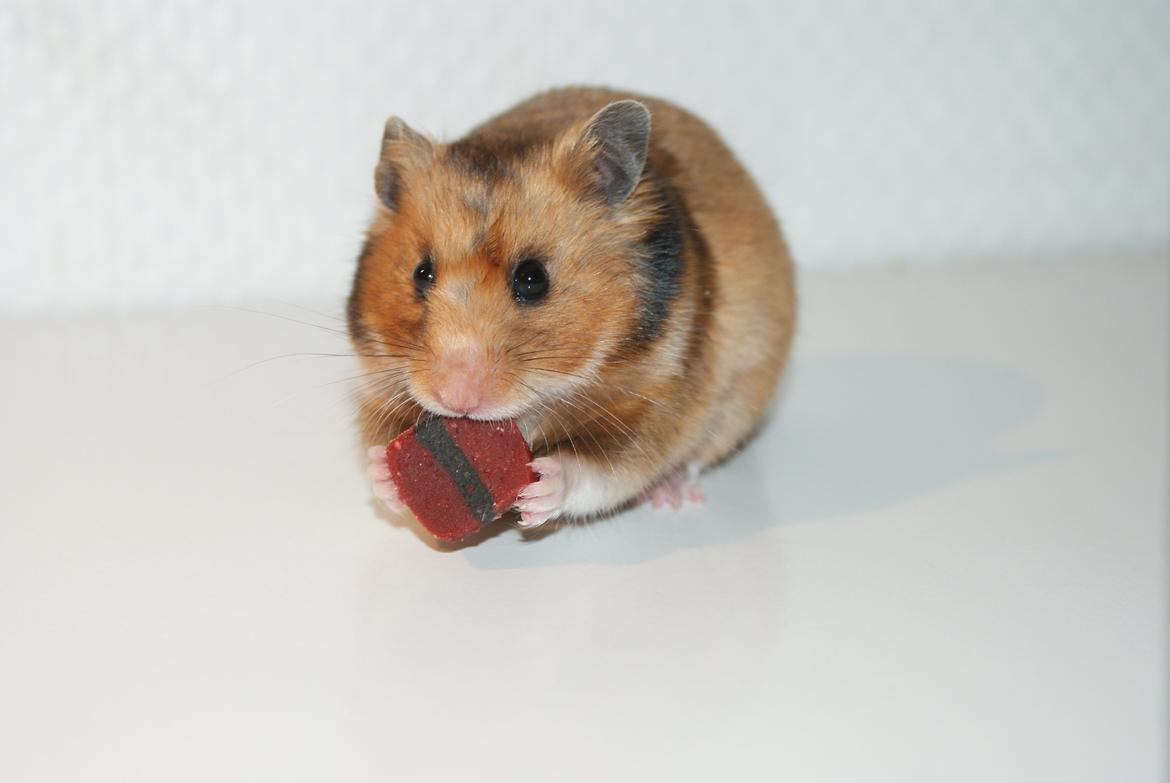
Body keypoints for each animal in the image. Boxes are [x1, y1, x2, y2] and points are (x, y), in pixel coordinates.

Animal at [348, 86, 796, 529]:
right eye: (421, 274)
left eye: (533, 279)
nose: (455, 400)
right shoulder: (376, 382)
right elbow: (375, 439)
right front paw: (384, 474)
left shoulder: (656, 401)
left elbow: (600, 467)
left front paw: (538, 489)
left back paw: (671, 496)